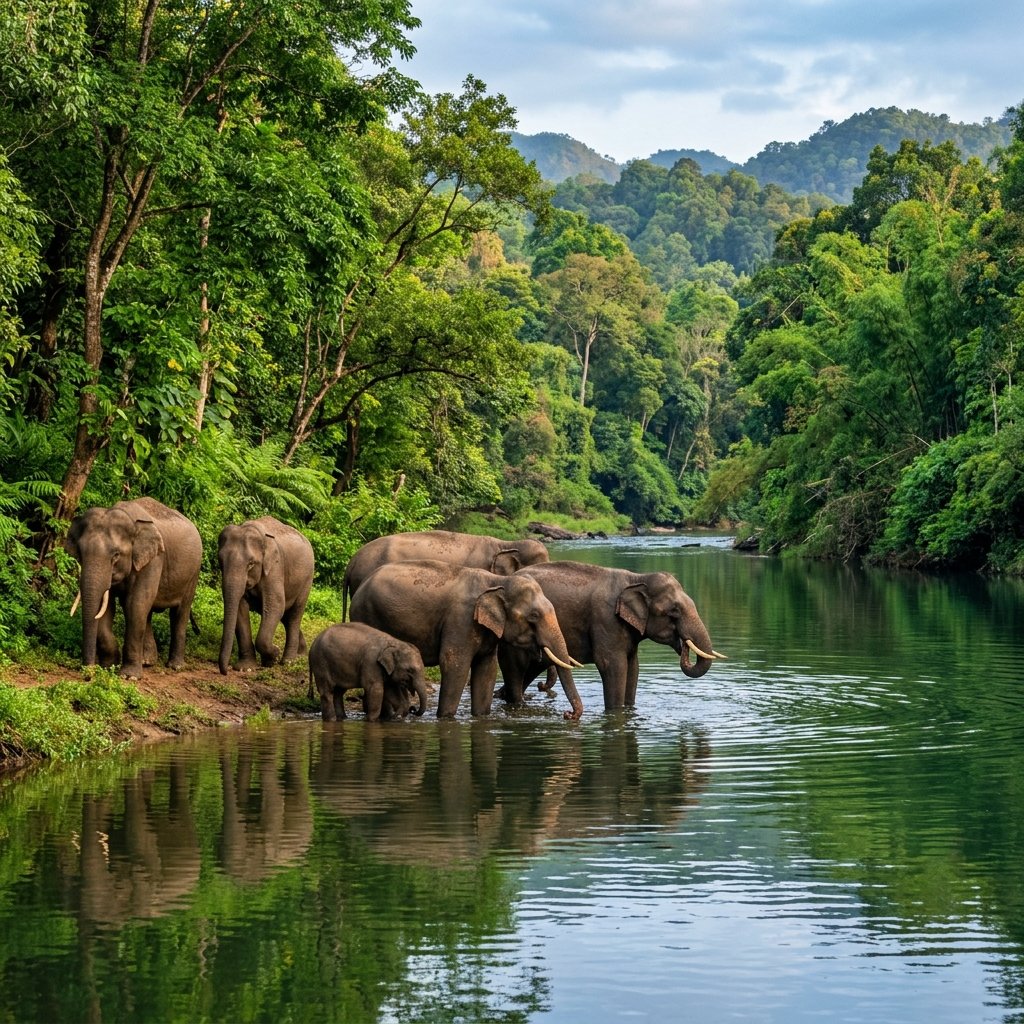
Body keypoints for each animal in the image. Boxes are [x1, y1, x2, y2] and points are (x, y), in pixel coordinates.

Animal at [64, 497, 202, 678]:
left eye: (116, 555)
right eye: (80, 553)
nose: (88, 674)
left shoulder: (153, 560)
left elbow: (135, 604)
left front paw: (128, 676)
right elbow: (107, 608)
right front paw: (109, 666)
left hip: (193, 573)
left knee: (179, 612)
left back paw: (175, 666)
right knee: (148, 612)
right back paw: (147, 661)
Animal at [218, 516, 314, 674]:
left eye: (251, 564)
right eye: (220, 562)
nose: (226, 671)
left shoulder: (275, 568)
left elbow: (276, 605)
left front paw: (273, 656)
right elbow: (240, 609)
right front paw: (245, 668)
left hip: (307, 580)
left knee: (294, 614)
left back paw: (288, 661)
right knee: (286, 617)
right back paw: (301, 654)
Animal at [348, 559, 583, 720]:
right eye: (533, 616)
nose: (567, 715)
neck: (497, 581)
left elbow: (486, 669)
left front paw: (480, 716)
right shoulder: (461, 619)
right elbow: (455, 664)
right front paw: (445, 718)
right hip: (366, 614)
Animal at [497, 561, 726, 711]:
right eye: (674, 611)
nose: (683, 644)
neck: (637, 578)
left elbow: (633, 667)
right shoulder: (606, 620)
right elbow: (613, 665)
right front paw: (615, 712)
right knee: (517, 670)